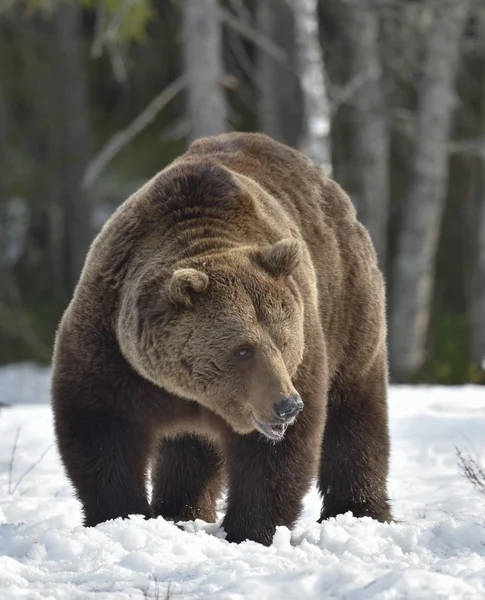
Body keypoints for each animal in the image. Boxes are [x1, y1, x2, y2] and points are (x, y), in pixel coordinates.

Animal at [51, 134, 392, 548]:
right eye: (243, 349)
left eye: (283, 342)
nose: (287, 405)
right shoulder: (112, 348)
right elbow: (100, 427)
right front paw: (120, 516)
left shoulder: (305, 349)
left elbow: (276, 457)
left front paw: (250, 531)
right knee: (190, 449)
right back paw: (180, 512)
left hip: (346, 305)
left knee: (353, 413)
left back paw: (359, 512)